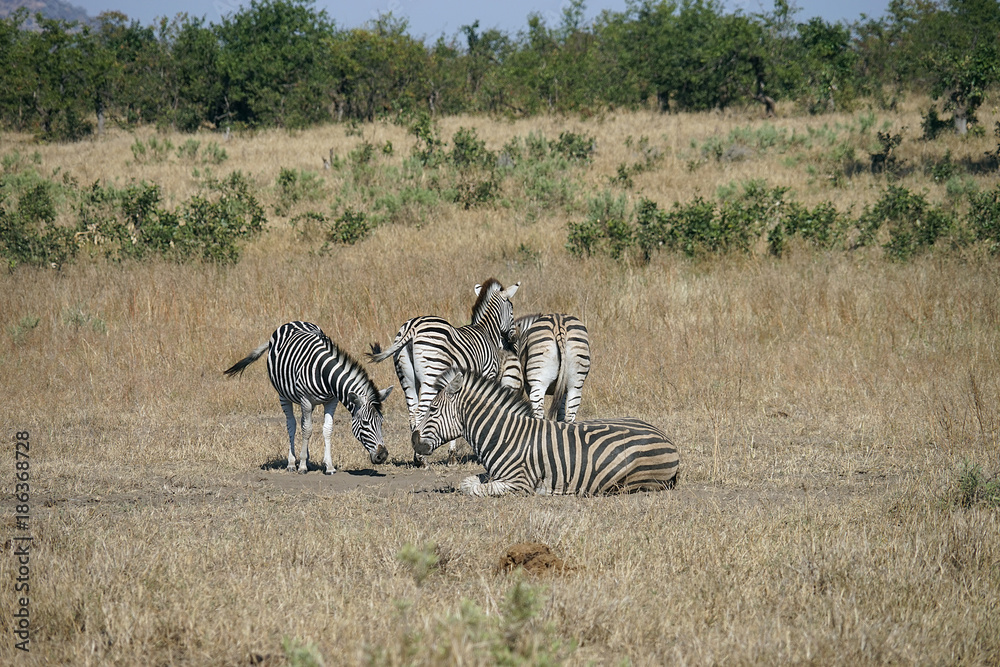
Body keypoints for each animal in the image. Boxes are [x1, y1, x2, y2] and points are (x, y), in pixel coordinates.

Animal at [224, 321, 393, 474]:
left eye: (381, 422)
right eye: (365, 423)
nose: (383, 456)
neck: (325, 374)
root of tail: (292, 322)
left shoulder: (331, 401)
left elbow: (327, 429)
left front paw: (328, 466)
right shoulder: (305, 399)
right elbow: (307, 430)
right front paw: (302, 466)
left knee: (302, 422)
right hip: (284, 395)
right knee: (292, 424)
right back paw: (292, 463)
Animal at [368, 278, 520, 466]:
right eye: (511, 309)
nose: (514, 338)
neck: (486, 331)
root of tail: (412, 327)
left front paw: (452, 454)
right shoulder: (487, 374)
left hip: (407, 380)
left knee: (412, 413)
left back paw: (416, 456)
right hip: (430, 376)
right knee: (420, 412)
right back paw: (421, 459)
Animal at [412, 369, 679, 496]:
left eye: (433, 409)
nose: (414, 441)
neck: (504, 434)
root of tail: (667, 439)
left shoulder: (519, 482)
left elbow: (472, 488)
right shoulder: (495, 475)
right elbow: (468, 481)